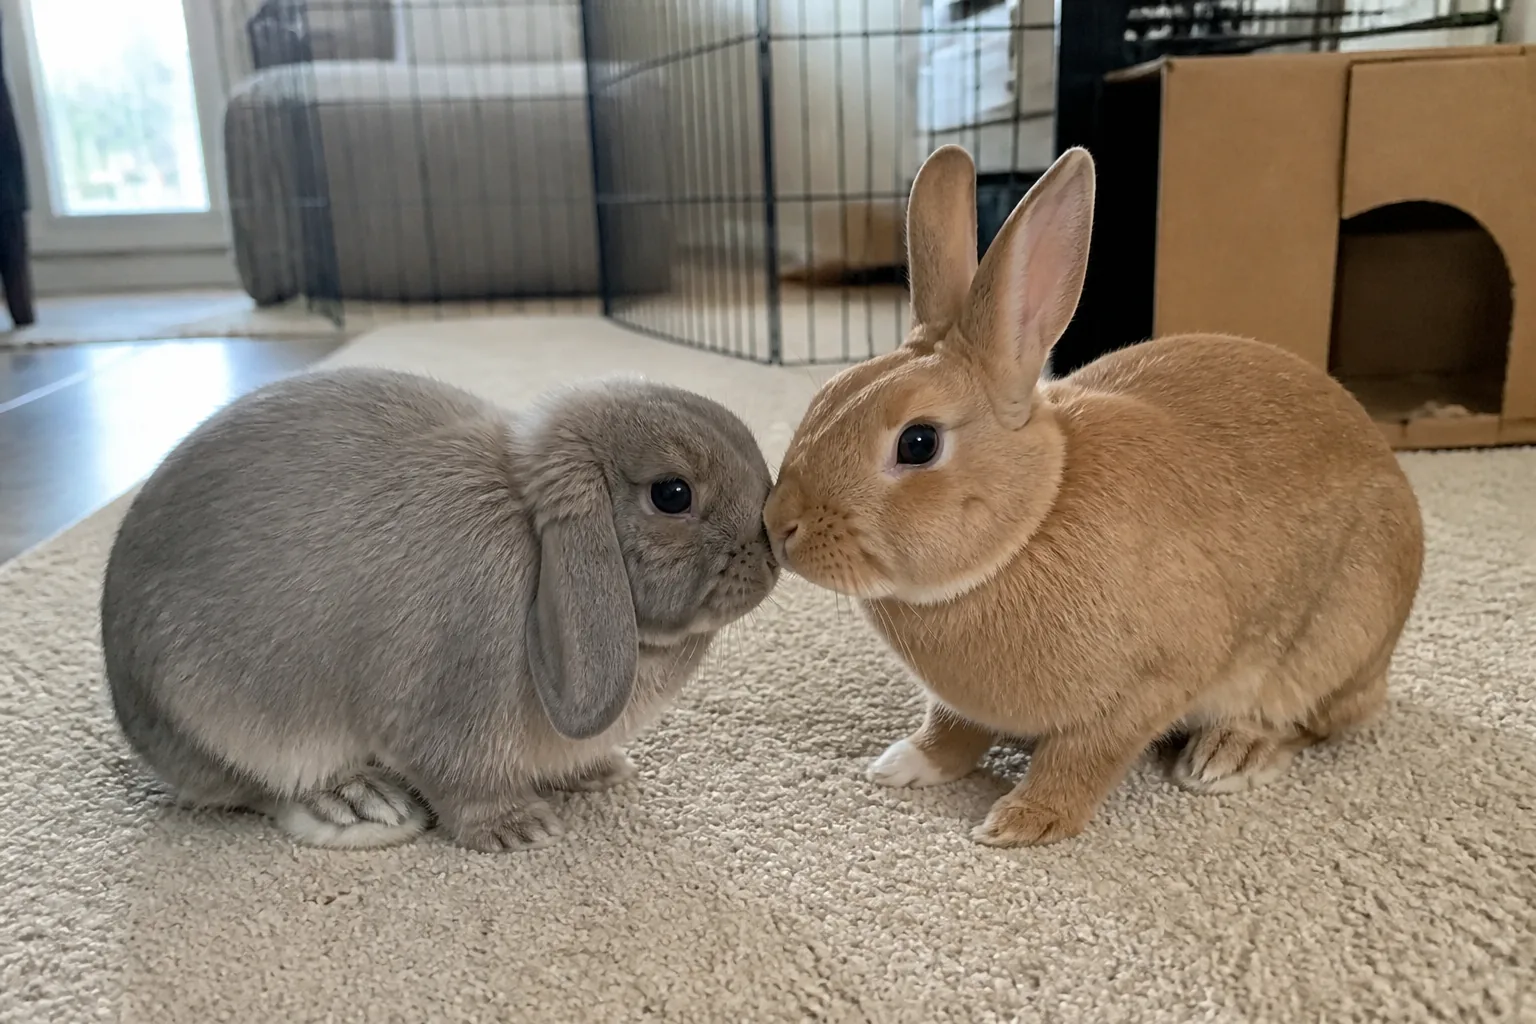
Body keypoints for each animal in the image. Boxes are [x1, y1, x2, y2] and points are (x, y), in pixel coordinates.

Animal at [102, 366, 779, 852]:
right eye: (673, 494)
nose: (774, 552)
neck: (538, 549)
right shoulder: (449, 712)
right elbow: (461, 783)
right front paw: (519, 830)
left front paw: (598, 771)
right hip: (222, 718)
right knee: (257, 787)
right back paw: (359, 803)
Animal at [763, 145, 1424, 848]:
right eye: (827, 393)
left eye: (918, 443)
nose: (778, 525)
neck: (1029, 525)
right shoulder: (961, 704)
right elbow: (952, 729)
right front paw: (904, 765)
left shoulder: (1147, 685)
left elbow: (1083, 758)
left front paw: (1022, 822)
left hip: (1332, 642)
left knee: (1313, 719)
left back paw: (1228, 757)